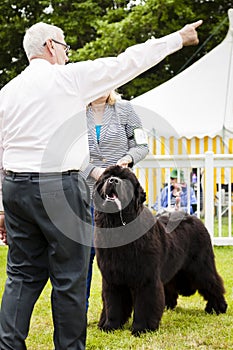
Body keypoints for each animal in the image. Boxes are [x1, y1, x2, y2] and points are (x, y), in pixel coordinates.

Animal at [93, 167, 228, 336]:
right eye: (107, 177)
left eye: (125, 180)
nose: (113, 181)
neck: (117, 227)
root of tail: (194, 217)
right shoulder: (113, 278)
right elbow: (113, 304)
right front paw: (110, 326)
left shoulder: (146, 277)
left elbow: (145, 303)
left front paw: (141, 328)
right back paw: (168, 305)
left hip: (201, 266)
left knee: (212, 282)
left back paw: (218, 307)